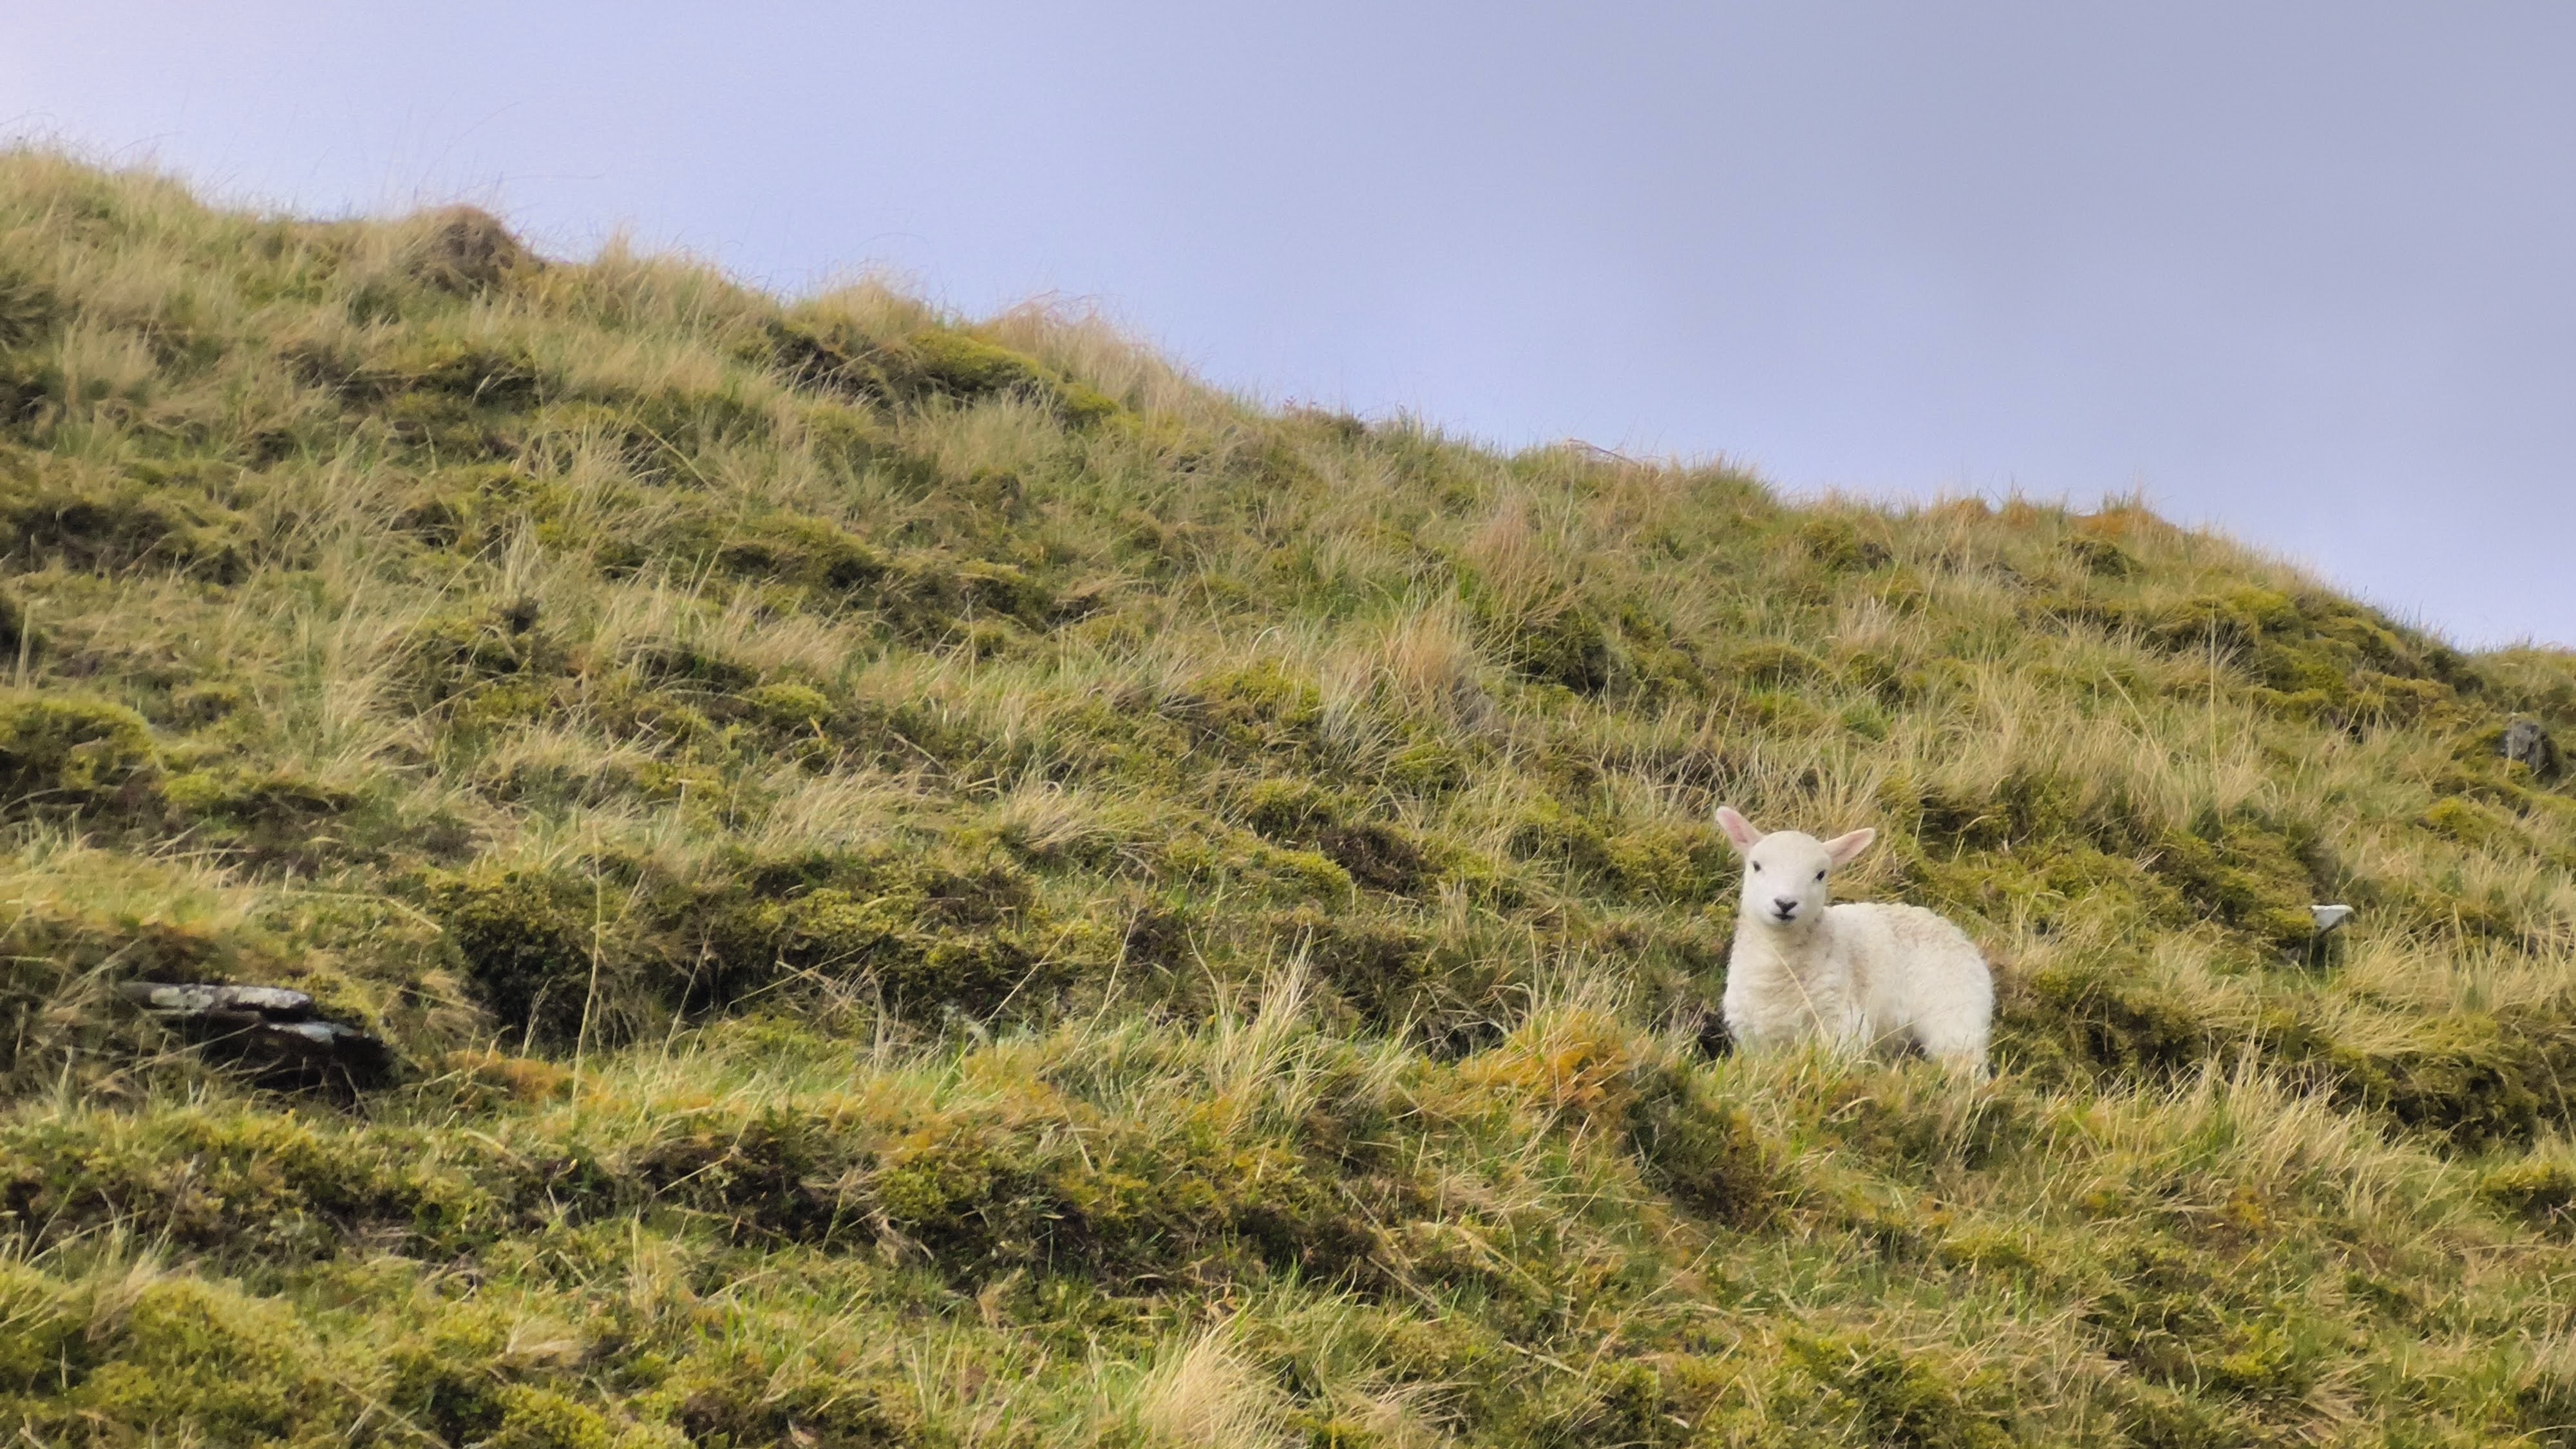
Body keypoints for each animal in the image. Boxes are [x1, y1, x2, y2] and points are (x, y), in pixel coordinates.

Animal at [1715, 807, 1993, 1074]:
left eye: (1821, 874)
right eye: (1757, 865)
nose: (1785, 904)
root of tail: (1952, 929)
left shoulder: (1843, 1024)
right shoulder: (1757, 1041)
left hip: (1956, 1016)